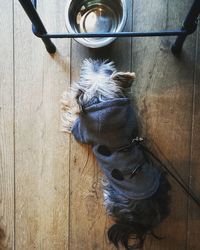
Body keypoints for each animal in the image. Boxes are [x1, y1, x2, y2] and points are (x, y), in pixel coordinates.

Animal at [60, 59, 170, 249]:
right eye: (107, 68)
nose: (94, 61)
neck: (104, 101)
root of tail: (145, 220)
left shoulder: (80, 129)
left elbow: (74, 113)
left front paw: (69, 99)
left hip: (110, 195)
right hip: (160, 177)